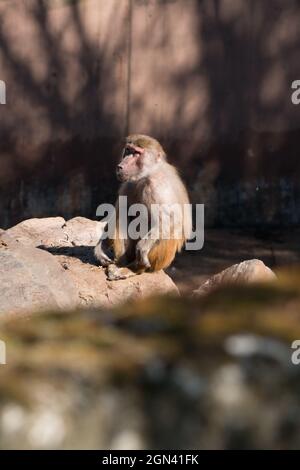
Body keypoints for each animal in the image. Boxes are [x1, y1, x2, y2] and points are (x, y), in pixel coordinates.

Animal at [94, 132, 192, 280]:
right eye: (128, 150)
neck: (146, 175)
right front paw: (100, 249)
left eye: (137, 153)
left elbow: (170, 221)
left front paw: (142, 248)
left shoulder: (157, 187)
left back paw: (133, 269)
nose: (120, 166)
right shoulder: (128, 184)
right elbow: (118, 214)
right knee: (122, 216)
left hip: (161, 258)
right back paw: (120, 263)